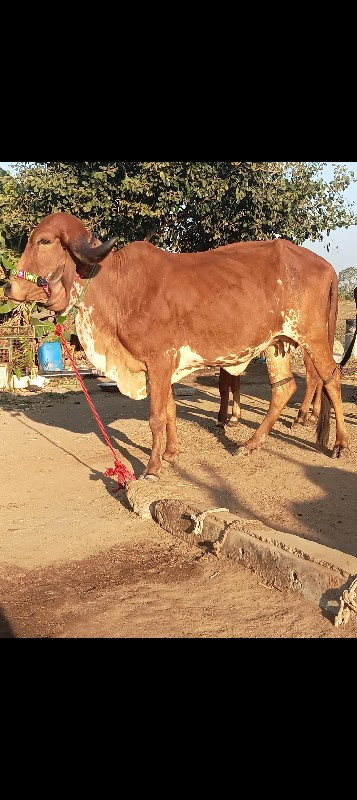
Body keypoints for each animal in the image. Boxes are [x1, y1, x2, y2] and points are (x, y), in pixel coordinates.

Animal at [4, 209, 350, 478]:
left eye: (44, 241)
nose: (9, 286)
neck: (117, 286)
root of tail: (325, 265)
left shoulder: (158, 360)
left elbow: (156, 416)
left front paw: (153, 467)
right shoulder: (163, 365)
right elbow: (169, 408)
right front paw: (170, 453)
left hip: (312, 337)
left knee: (331, 378)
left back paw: (340, 443)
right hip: (276, 343)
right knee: (283, 389)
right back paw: (250, 444)